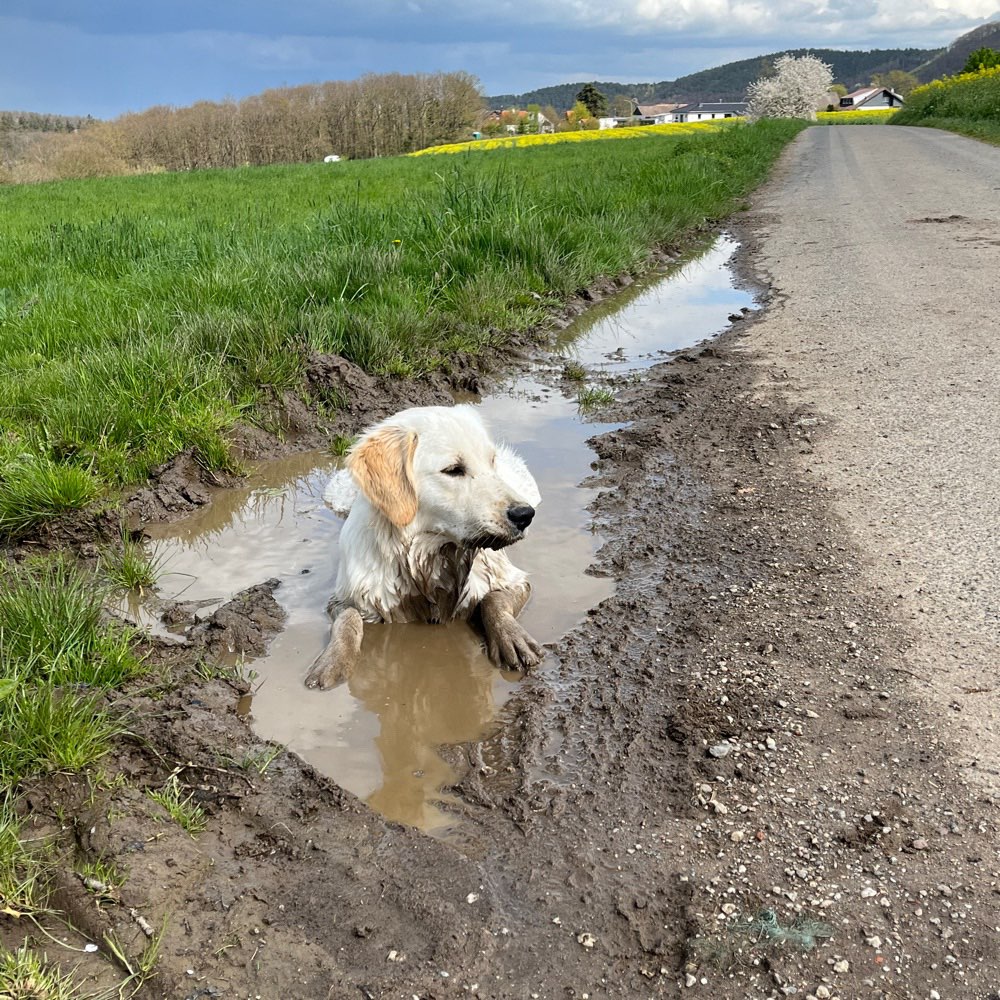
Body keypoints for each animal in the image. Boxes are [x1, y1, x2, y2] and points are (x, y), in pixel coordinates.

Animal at [304, 402, 544, 692]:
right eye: (453, 469)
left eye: (491, 462)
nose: (524, 515)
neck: (429, 557)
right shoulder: (347, 596)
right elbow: (347, 618)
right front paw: (333, 661)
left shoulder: (514, 580)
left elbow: (493, 600)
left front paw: (512, 637)